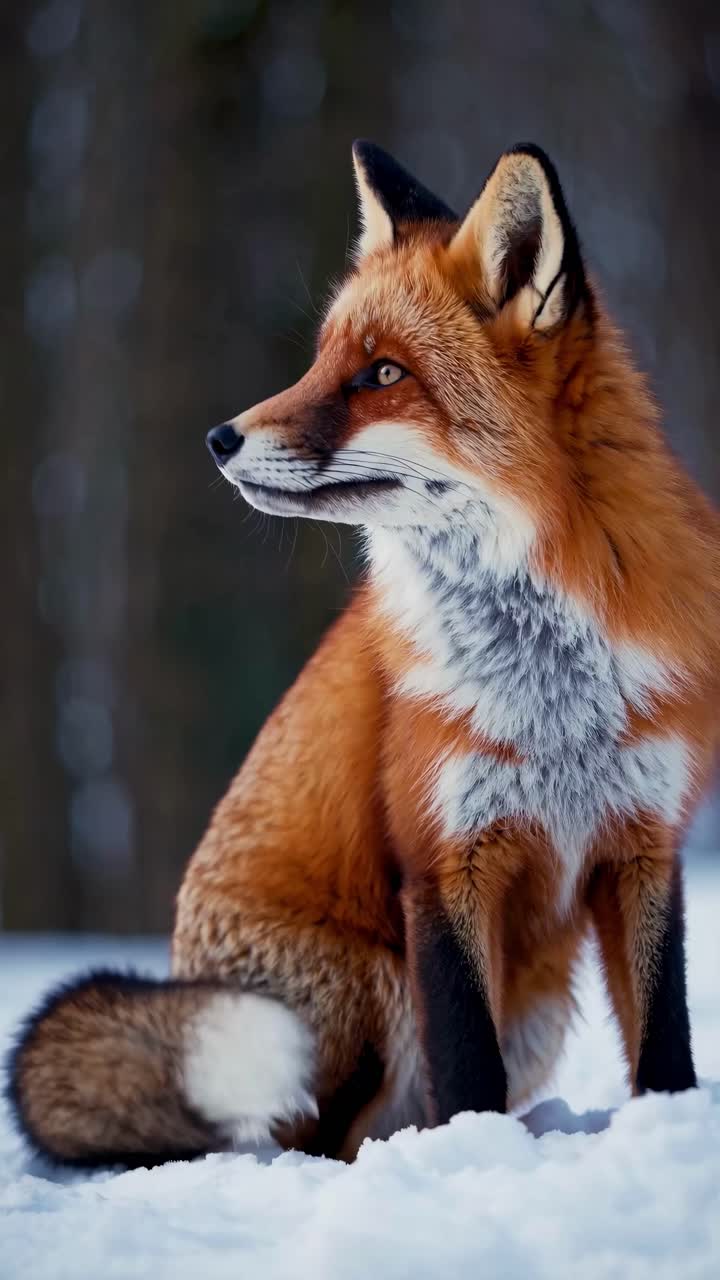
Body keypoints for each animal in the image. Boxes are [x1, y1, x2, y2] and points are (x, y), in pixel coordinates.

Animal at [7, 139, 720, 1169]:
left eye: (382, 373)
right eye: (322, 362)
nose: (219, 438)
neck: (551, 693)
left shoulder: (644, 842)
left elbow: (664, 1047)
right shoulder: (441, 860)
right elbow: (466, 1068)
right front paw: (475, 1159)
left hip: (534, 1004)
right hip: (367, 990)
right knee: (309, 1139)